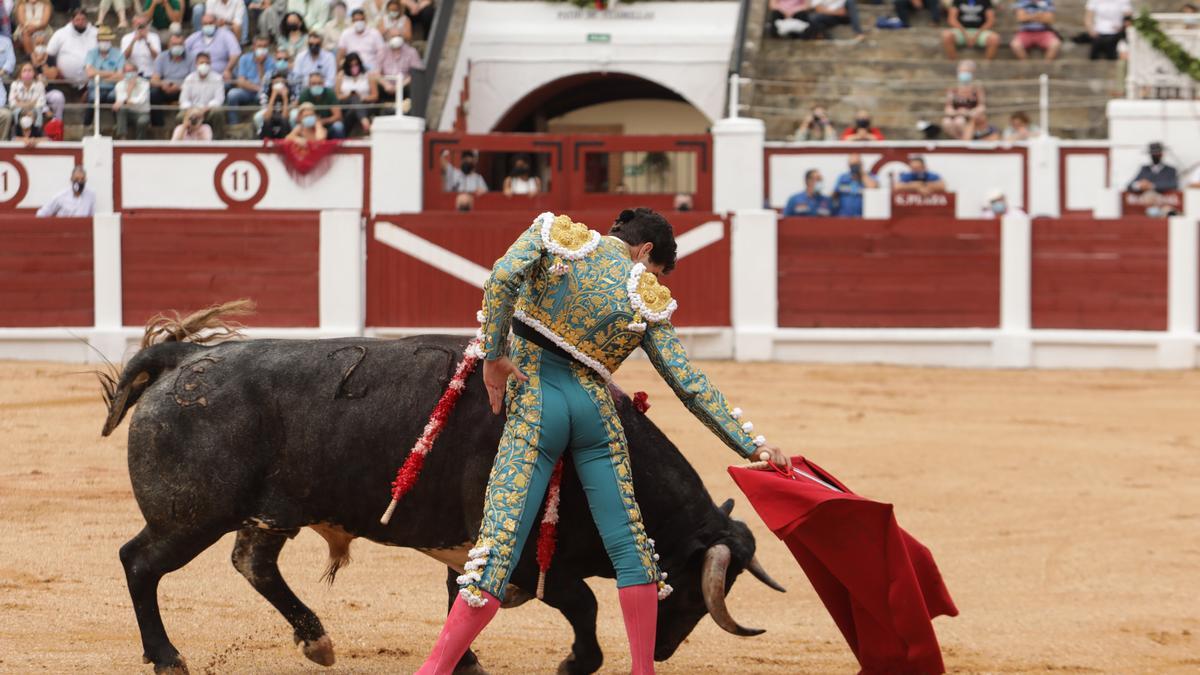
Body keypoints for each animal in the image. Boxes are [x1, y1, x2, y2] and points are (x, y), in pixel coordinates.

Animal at [105, 331, 787, 672]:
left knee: (253, 563)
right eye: (693, 593)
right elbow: (585, 606)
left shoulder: (473, 550)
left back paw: (317, 641)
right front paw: (573, 664)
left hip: (267, 513)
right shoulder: (533, 558)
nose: (664, 650)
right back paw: (166, 658)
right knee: (139, 563)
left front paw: (467, 665)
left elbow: (463, 600)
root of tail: (186, 356)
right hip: (190, 516)